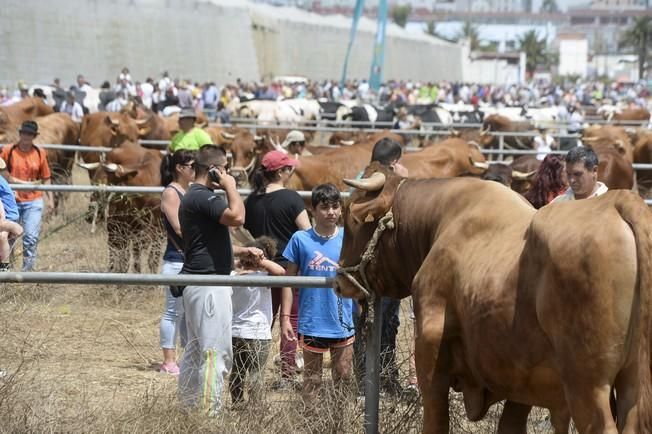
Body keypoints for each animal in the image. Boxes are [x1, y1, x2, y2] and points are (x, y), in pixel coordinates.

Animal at [338, 164, 652, 434]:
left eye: (352, 221)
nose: (339, 278)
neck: (443, 218)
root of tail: (619, 202)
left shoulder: (430, 352)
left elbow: (436, 421)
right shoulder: (522, 374)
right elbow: (510, 425)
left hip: (587, 384)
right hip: (632, 381)